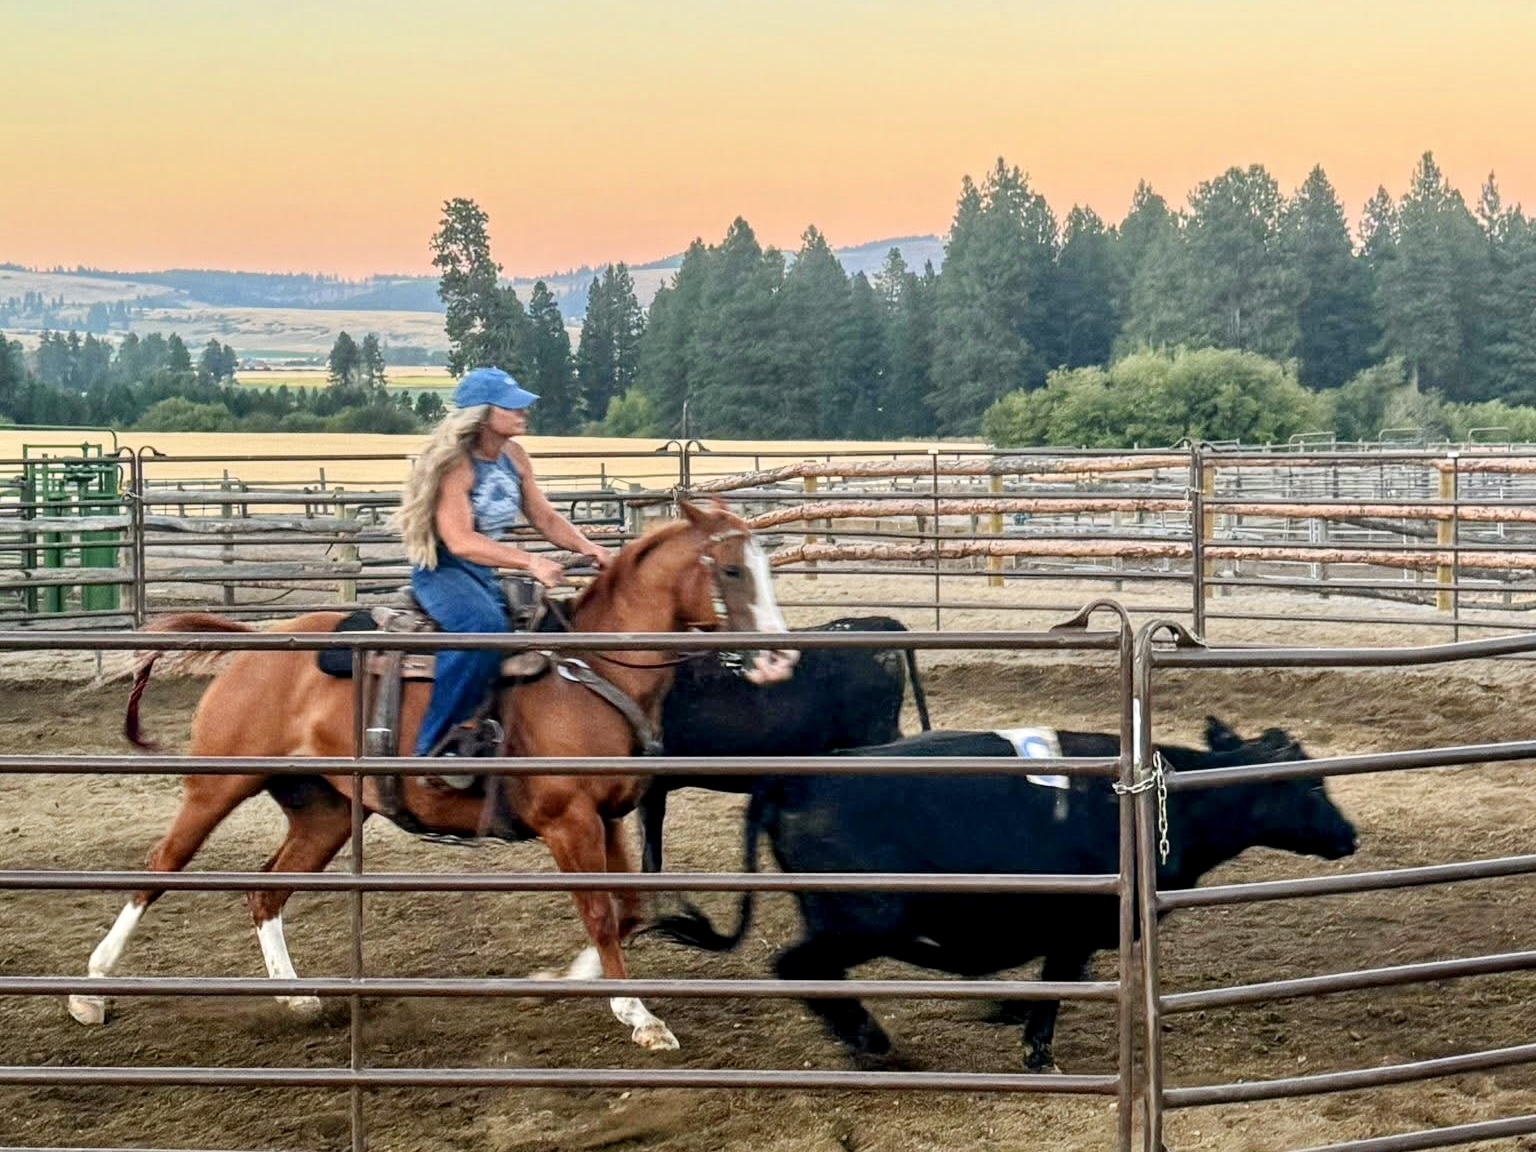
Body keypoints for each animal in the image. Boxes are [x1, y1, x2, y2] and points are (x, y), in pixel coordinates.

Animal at [68, 500, 799, 1051]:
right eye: (732, 568)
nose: (781, 658)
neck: (590, 672)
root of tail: (255, 645)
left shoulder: (610, 817)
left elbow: (630, 909)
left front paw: (570, 977)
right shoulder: (568, 821)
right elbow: (599, 911)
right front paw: (638, 1015)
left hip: (324, 809)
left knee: (265, 890)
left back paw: (298, 997)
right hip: (218, 783)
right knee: (160, 868)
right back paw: (89, 992)